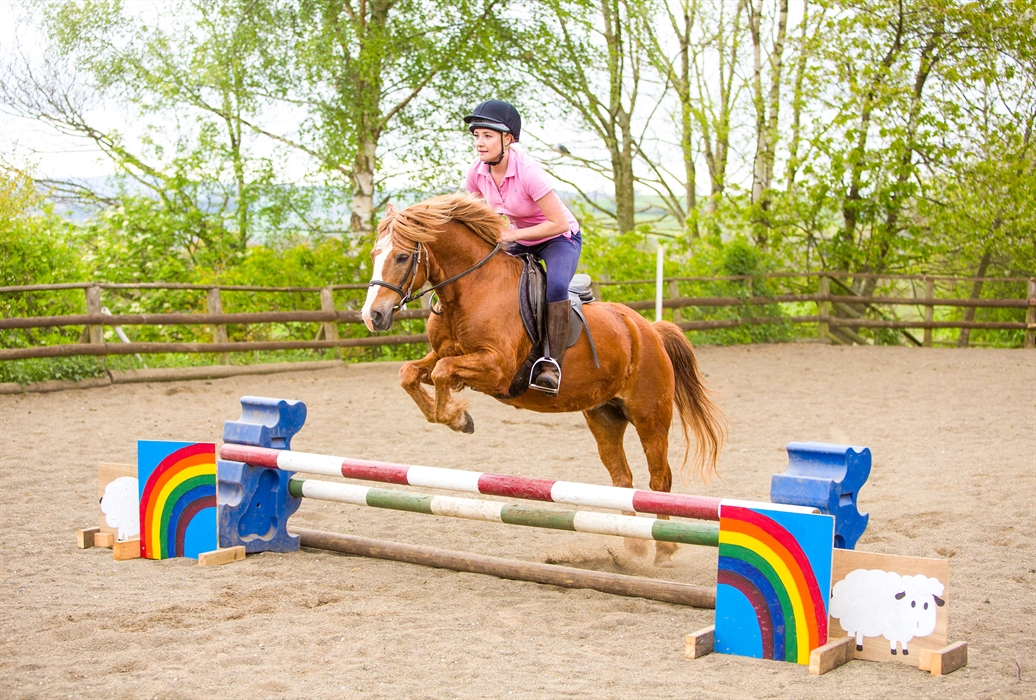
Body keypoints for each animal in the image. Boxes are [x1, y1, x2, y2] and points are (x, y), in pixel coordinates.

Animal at [361, 192, 726, 565]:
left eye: (402, 256)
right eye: (375, 255)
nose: (372, 316)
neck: (471, 290)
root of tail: (648, 329)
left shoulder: (497, 369)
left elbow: (443, 371)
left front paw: (457, 417)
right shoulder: (442, 354)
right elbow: (411, 373)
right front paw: (457, 417)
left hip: (650, 415)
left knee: (659, 479)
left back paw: (663, 550)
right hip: (605, 416)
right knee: (622, 479)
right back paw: (633, 548)